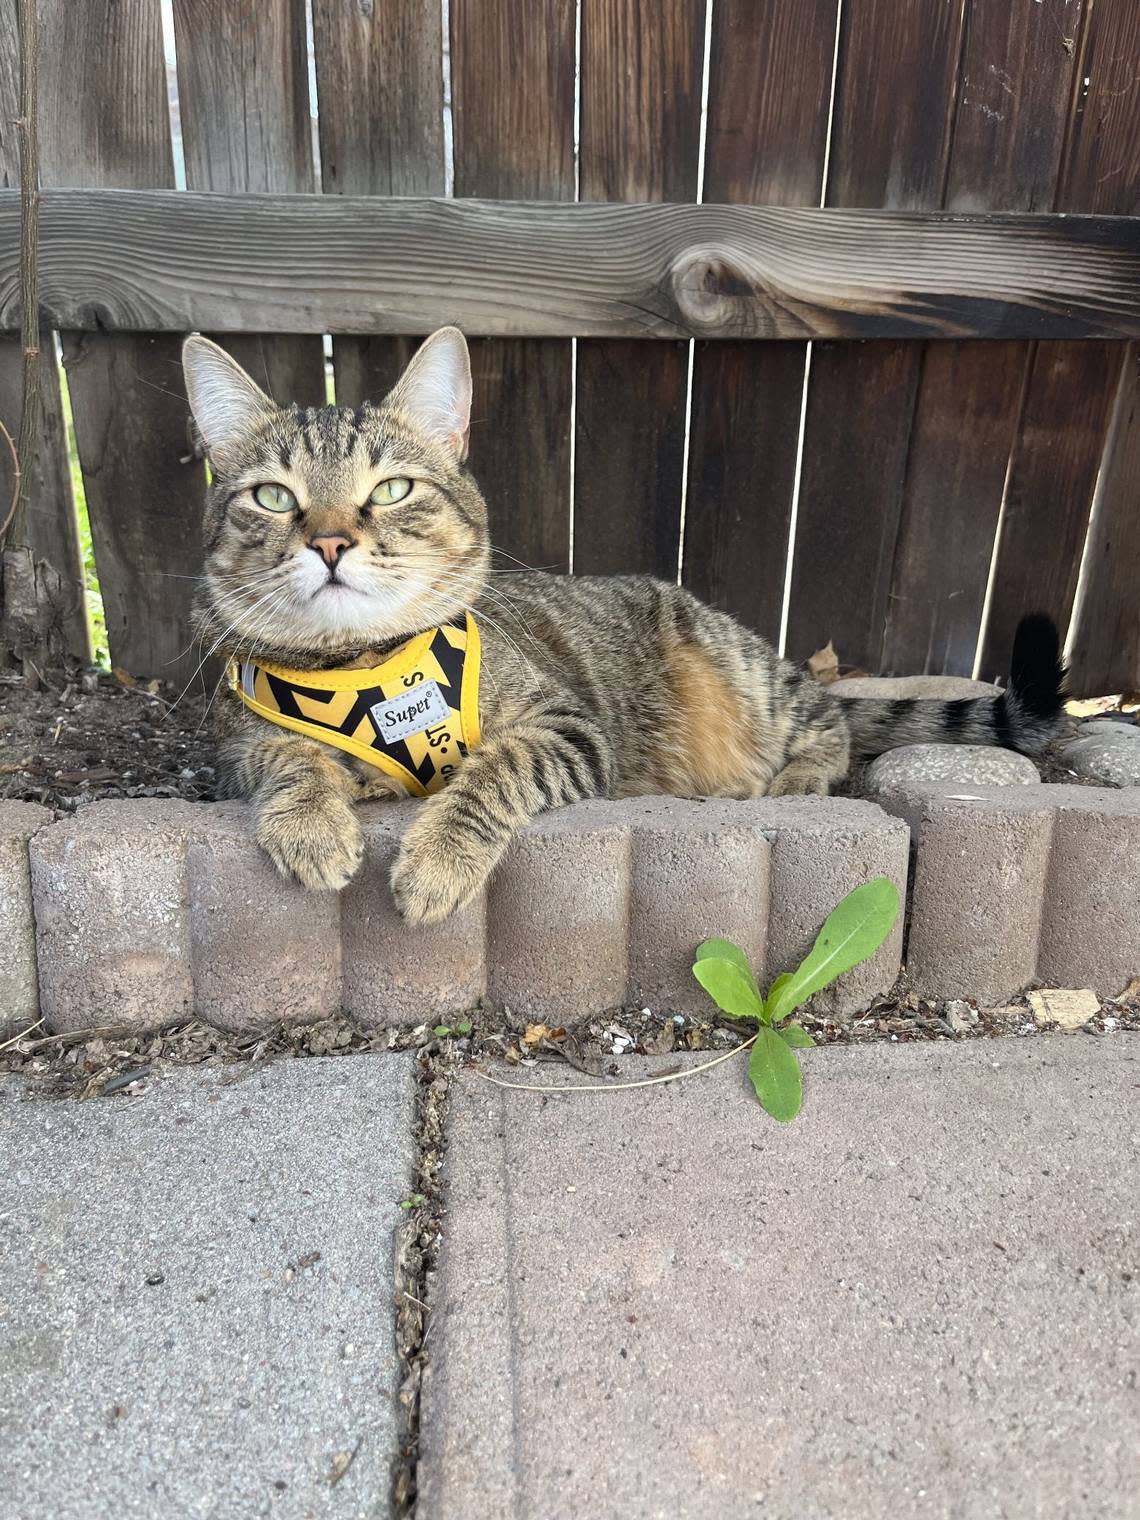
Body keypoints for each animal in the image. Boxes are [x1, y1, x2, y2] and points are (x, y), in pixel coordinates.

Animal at [180, 329, 1070, 924]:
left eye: (393, 489)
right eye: (273, 498)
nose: (330, 540)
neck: (366, 669)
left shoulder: (567, 728)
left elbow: (493, 774)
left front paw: (436, 860)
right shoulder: (233, 743)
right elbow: (285, 755)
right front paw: (312, 819)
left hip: (746, 679)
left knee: (829, 722)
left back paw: (792, 779)